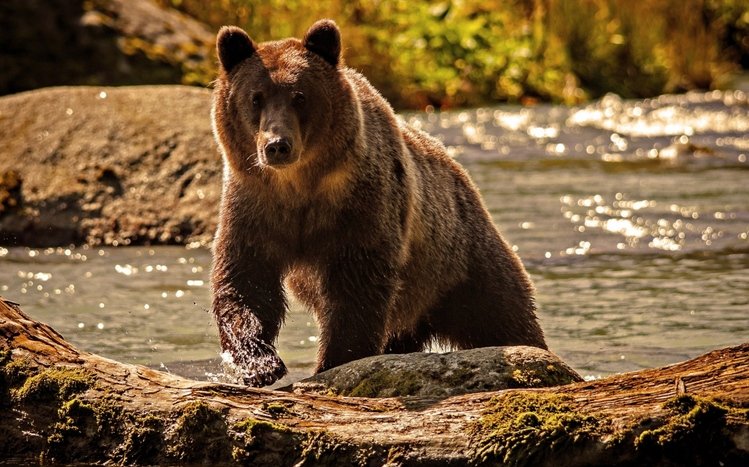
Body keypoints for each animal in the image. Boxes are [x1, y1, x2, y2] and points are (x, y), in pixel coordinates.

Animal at [210, 19, 547, 386]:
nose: (277, 145)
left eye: (299, 96)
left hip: (460, 261)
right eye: (255, 97)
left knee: (502, 313)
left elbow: (357, 287)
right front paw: (258, 363)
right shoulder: (255, 205)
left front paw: (334, 361)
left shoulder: (361, 205)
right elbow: (247, 279)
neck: (299, 186)